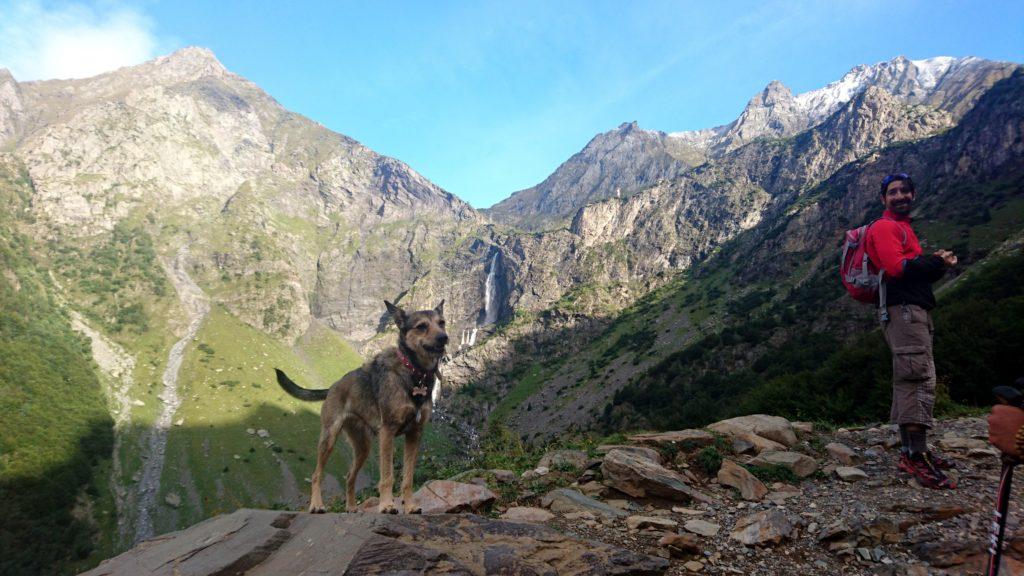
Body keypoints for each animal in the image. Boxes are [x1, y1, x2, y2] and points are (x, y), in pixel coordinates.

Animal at [274, 301, 446, 510]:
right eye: (421, 326)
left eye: (442, 323)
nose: (444, 338)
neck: (416, 373)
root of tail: (332, 387)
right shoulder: (388, 432)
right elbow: (387, 476)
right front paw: (387, 505)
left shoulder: (415, 434)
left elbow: (408, 478)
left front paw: (410, 507)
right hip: (329, 438)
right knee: (316, 474)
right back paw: (316, 505)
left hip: (363, 446)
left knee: (349, 476)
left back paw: (351, 508)